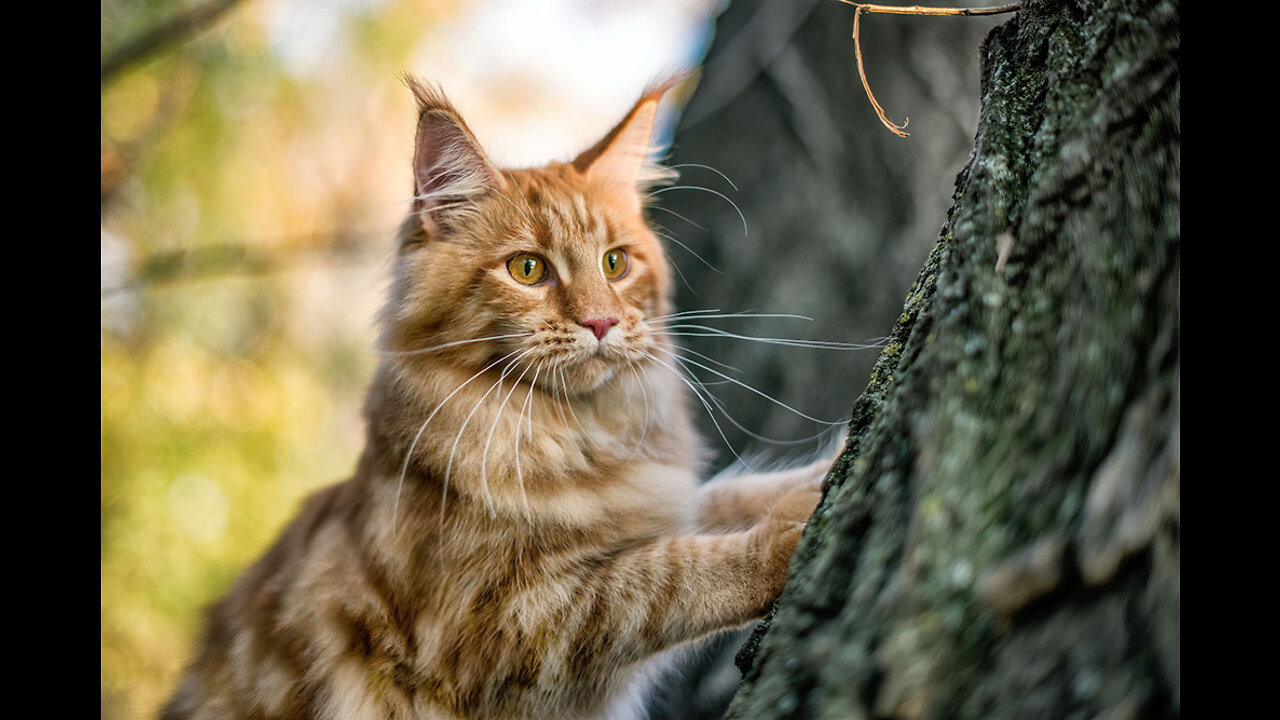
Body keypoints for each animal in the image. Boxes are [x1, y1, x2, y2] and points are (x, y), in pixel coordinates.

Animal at [160, 74, 834, 717]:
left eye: (615, 264)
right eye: (528, 270)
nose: (601, 322)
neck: (572, 434)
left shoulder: (654, 499)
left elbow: (728, 496)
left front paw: (824, 471)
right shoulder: (497, 625)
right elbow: (666, 577)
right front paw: (788, 536)